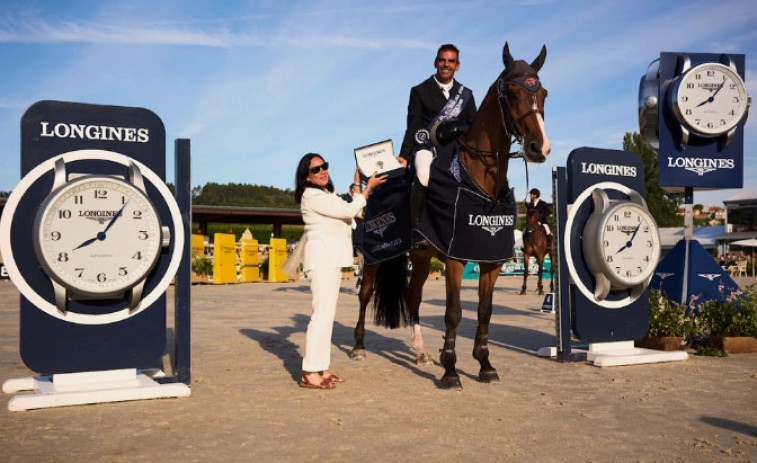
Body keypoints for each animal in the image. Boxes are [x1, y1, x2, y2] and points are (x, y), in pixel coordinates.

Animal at [348, 42, 548, 392]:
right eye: (512, 93)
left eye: (544, 94)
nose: (540, 148)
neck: (479, 181)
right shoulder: (455, 257)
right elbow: (453, 312)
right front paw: (451, 370)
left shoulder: (491, 260)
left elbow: (484, 311)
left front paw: (484, 364)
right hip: (373, 256)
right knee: (365, 294)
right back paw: (359, 347)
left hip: (421, 257)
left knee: (413, 299)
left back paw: (421, 353)